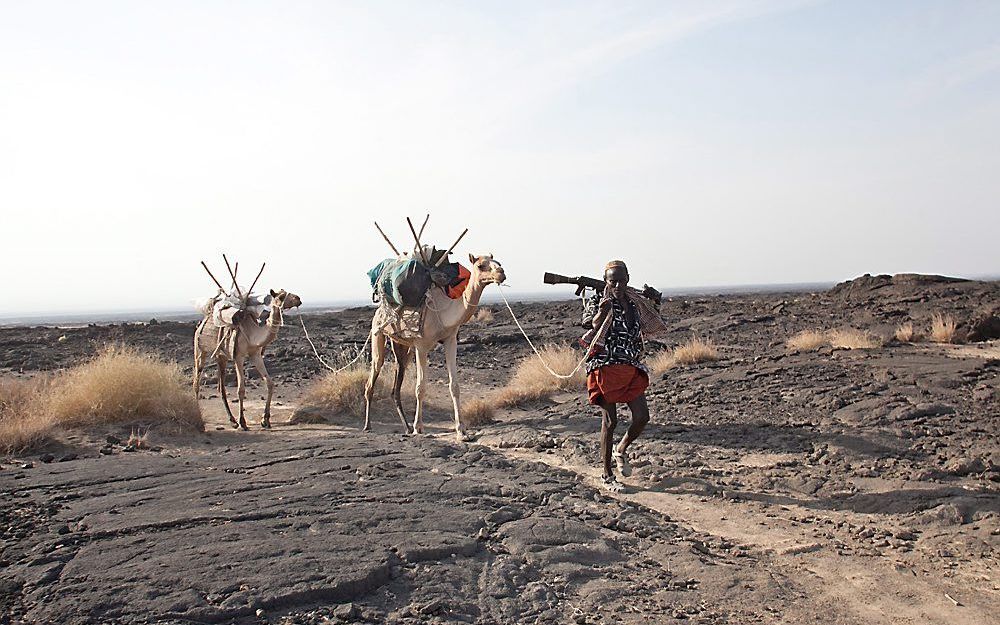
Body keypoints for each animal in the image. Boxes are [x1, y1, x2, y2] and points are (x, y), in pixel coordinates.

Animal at [193, 288, 302, 428]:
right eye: (281, 296)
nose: (298, 299)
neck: (253, 333)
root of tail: (201, 323)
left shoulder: (255, 354)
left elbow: (270, 383)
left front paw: (265, 420)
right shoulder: (238, 356)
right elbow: (241, 389)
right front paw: (242, 421)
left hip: (221, 356)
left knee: (221, 388)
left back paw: (232, 420)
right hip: (200, 350)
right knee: (196, 382)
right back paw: (201, 415)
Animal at [366, 254, 508, 438]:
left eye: (498, 263)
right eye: (480, 265)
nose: (501, 273)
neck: (443, 311)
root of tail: (379, 310)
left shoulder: (450, 340)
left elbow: (454, 386)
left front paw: (461, 430)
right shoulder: (421, 346)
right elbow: (420, 387)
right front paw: (418, 428)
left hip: (401, 344)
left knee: (397, 382)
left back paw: (406, 427)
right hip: (378, 333)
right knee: (374, 372)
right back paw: (368, 425)